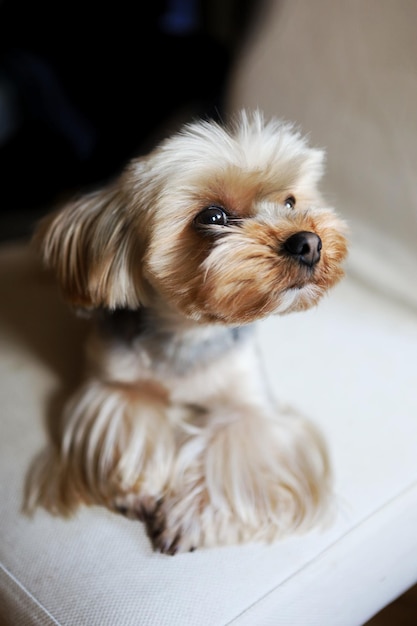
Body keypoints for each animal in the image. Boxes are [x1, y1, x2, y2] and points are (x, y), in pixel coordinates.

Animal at [26, 111, 348, 552]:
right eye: (212, 217)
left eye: (290, 202)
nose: (309, 243)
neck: (189, 330)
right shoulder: (114, 384)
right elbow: (130, 421)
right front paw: (137, 487)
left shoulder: (251, 406)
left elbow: (237, 452)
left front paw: (190, 517)